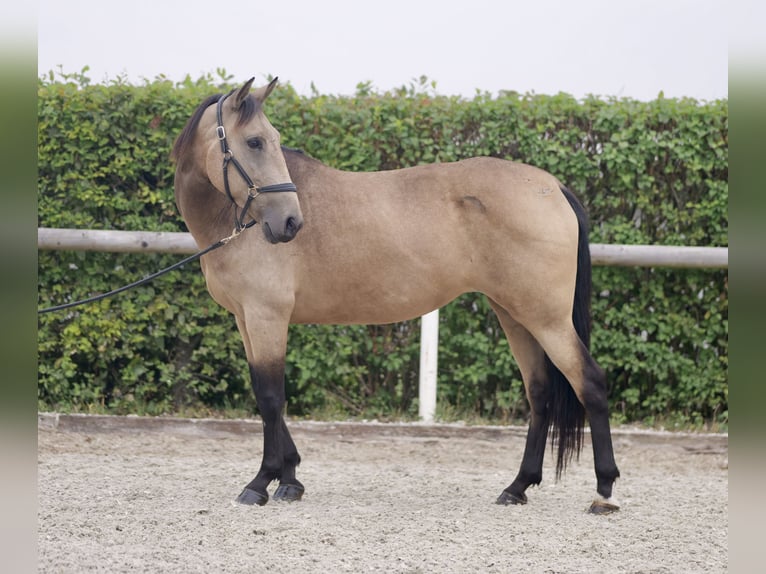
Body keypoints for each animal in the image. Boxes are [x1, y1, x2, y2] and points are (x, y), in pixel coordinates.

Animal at [171, 77, 620, 516]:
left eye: (270, 140)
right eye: (255, 142)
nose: (291, 222)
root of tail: (553, 186)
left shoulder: (267, 317)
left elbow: (270, 397)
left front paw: (261, 482)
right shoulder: (247, 320)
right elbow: (268, 396)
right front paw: (290, 479)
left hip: (547, 320)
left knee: (590, 382)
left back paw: (604, 491)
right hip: (514, 314)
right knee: (540, 393)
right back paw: (518, 486)